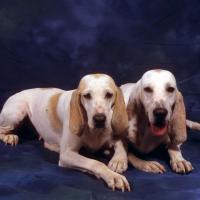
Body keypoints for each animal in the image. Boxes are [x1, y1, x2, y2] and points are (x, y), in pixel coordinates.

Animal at [0, 74, 130, 192]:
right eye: (87, 96)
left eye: (109, 94)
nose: (99, 119)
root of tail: (17, 93)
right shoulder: (67, 155)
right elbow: (95, 163)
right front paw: (113, 176)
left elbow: (121, 143)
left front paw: (118, 161)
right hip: (16, 113)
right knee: (2, 129)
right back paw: (9, 137)